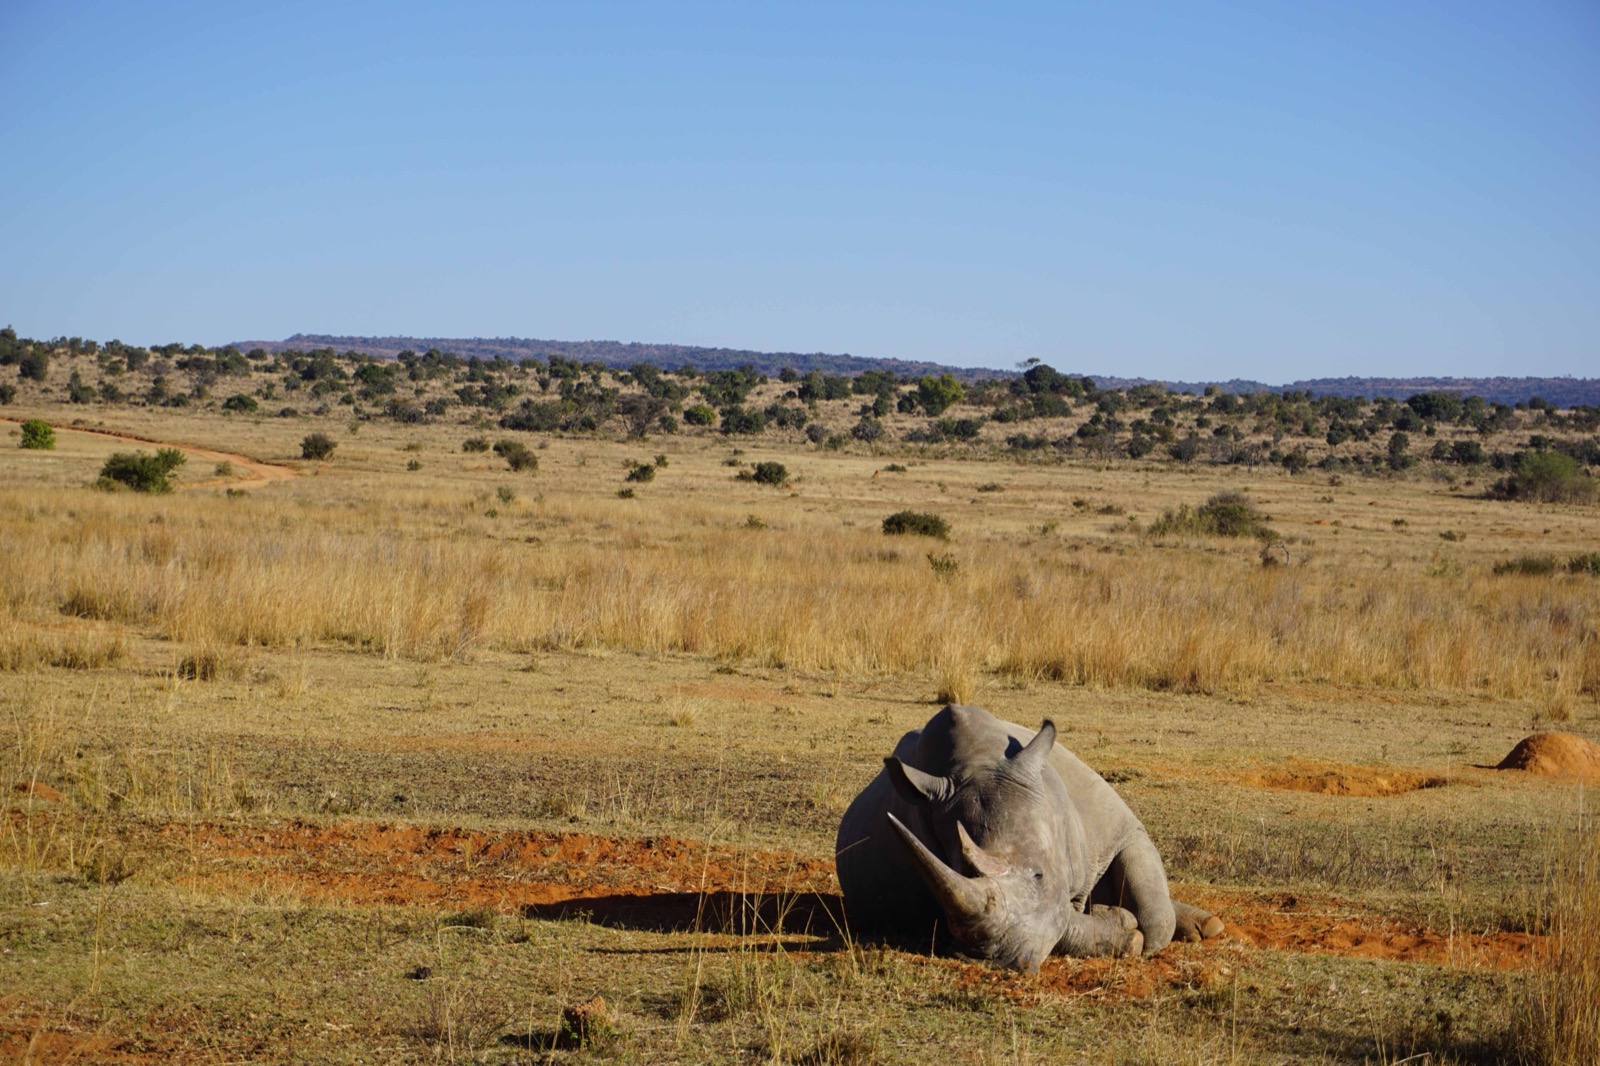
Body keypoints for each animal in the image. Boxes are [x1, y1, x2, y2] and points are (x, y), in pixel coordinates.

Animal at [835, 704, 1222, 972]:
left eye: (1039, 874)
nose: (999, 959)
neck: (976, 761)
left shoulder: (1117, 829)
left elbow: (1153, 917)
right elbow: (1062, 922)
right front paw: (1123, 929)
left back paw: (1208, 928)